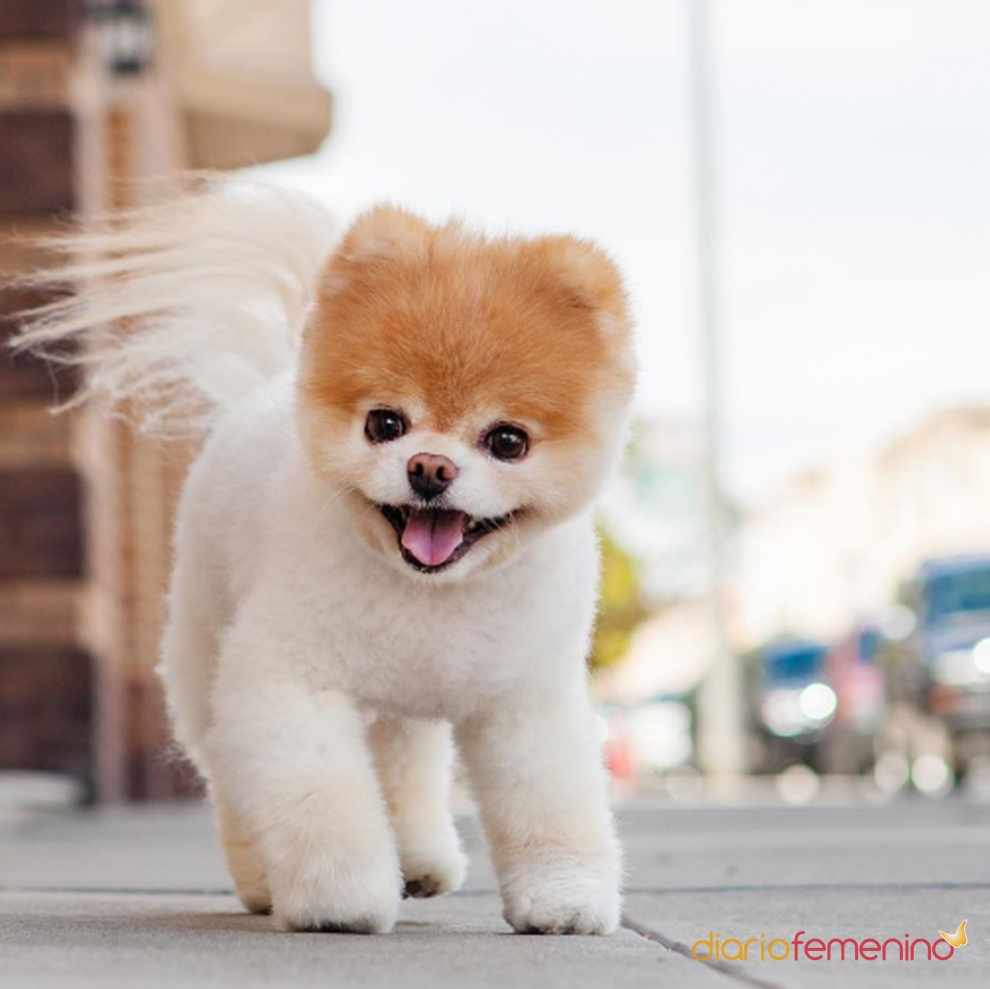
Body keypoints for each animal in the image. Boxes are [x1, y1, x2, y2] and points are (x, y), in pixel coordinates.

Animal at [15, 179, 640, 932]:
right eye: (385, 423)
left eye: (508, 441)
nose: (429, 467)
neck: (430, 595)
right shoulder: (286, 678)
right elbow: (319, 797)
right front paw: (340, 897)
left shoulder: (526, 695)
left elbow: (549, 799)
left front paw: (564, 897)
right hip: (204, 656)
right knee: (232, 771)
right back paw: (263, 880)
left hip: (397, 706)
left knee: (403, 761)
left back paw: (420, 860)